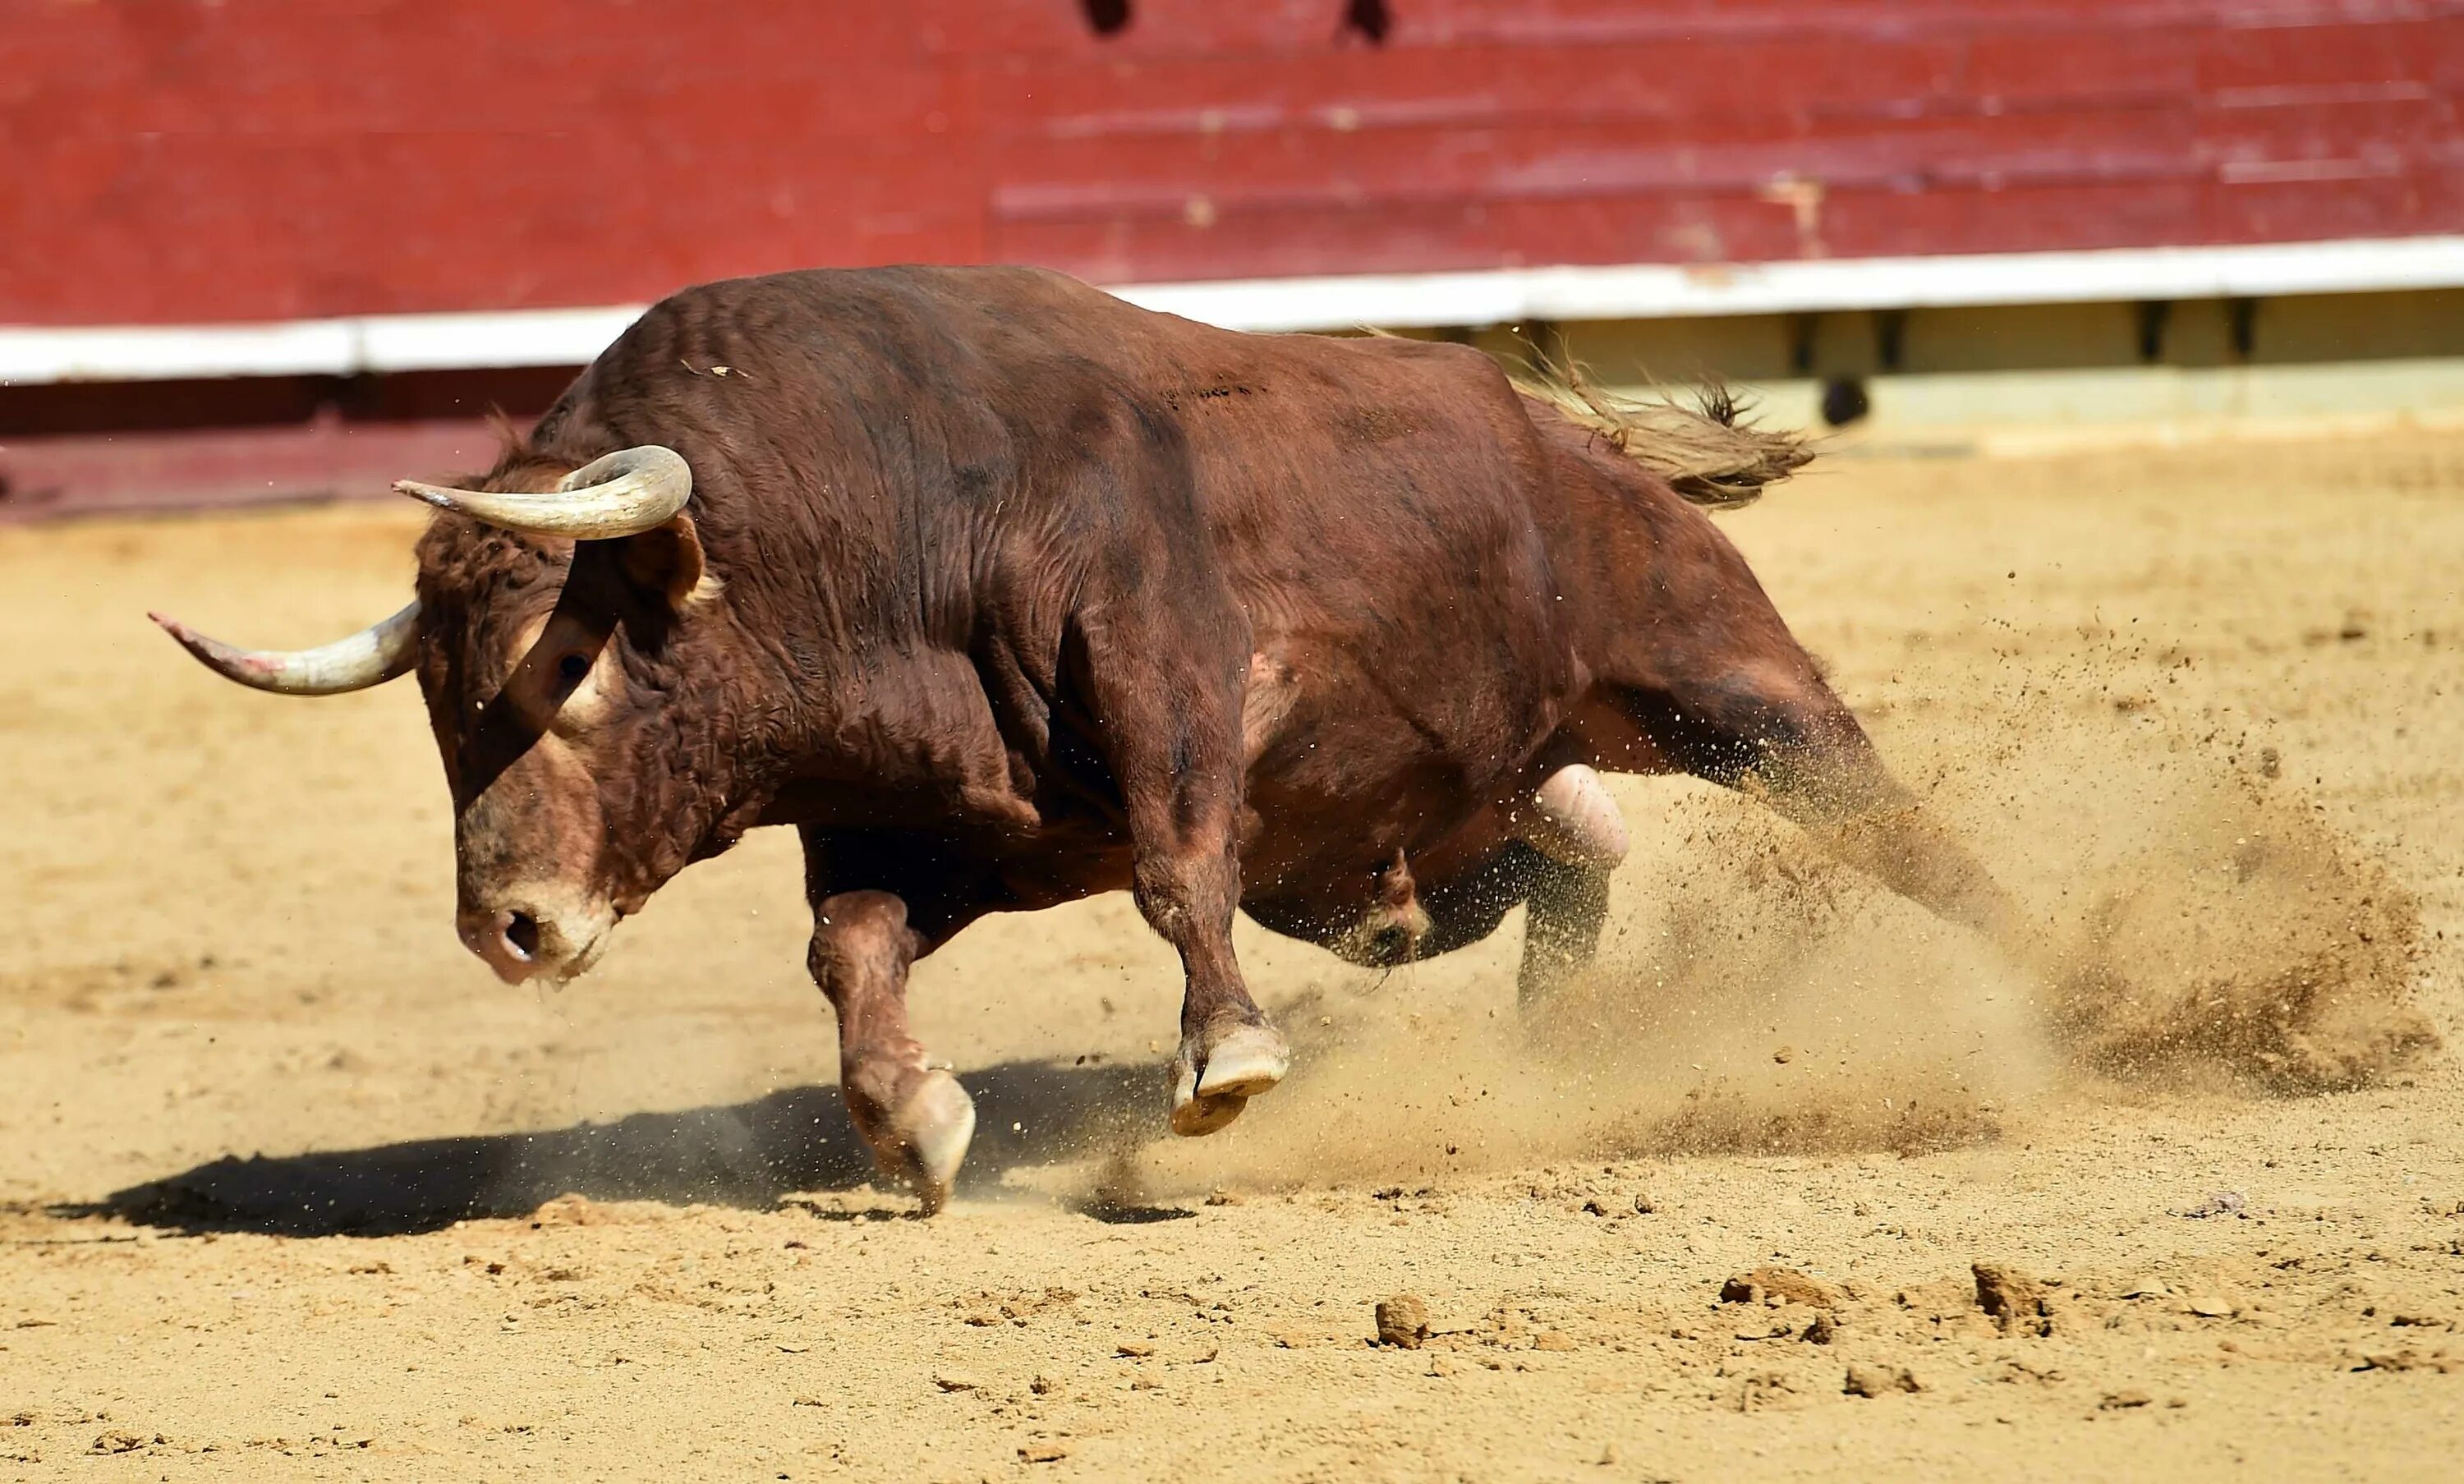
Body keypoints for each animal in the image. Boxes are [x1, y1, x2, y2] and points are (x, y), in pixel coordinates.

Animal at [159, 266, 2020, 1207]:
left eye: (582, 672)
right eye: (435, 705)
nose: (512, 926)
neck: (869, 512)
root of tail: (1561, 436)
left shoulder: (1160, 676)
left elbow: (1175, 870)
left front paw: (1225, 1065)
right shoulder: (925, 824)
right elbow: (849, 951)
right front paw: (918, 1130)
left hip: (1718, 669)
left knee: (1882, 819)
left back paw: (2046, 981)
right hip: (1392, 857)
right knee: (1567, 857)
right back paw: (1554, 1045)